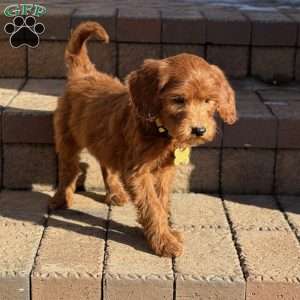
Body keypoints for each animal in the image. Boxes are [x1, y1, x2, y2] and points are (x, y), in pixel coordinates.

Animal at [52, 21, 239, 256]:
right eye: (178, 100)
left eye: (209, 100)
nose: (199, 130)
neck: (160, 131)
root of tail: (84, 74)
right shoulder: (138, 172)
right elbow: (153, 206)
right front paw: (164, 242)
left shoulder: (164, 171)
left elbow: (161, 201)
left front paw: (165, 232)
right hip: (67, 137)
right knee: (68, 169)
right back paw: (61, 199)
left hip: (106, 141)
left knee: (106, 164)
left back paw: (114, 193)